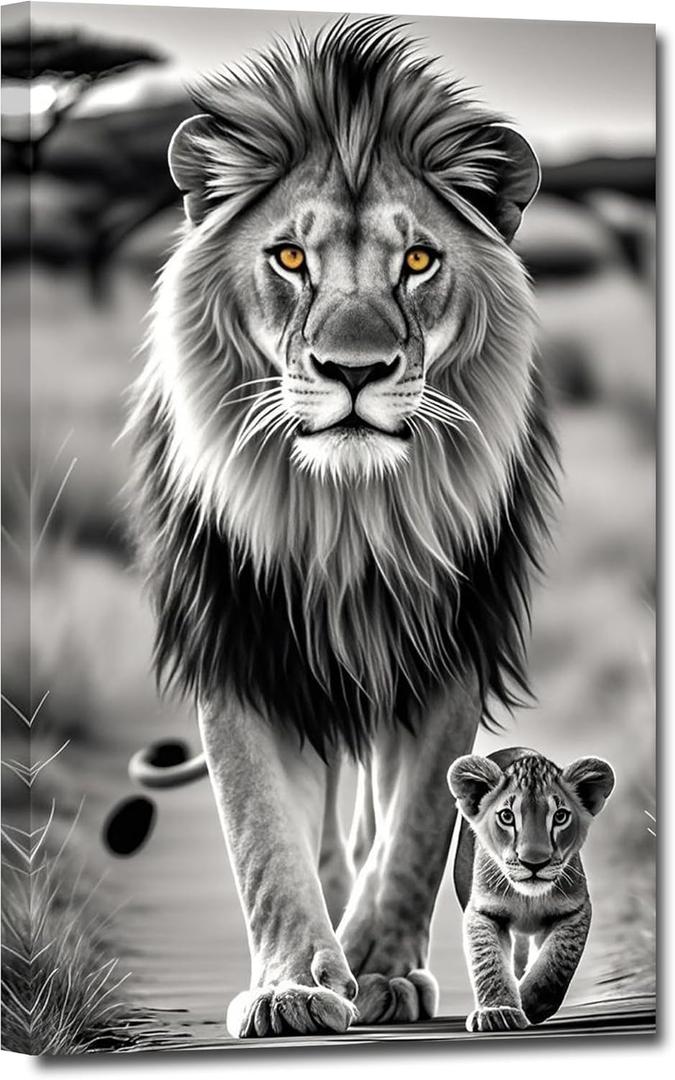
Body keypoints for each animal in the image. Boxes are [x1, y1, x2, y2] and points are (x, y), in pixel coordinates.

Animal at [128, 17, 558, 1037]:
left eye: (418, 261)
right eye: (290, 259)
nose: (352, 370)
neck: (349, 517)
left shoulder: (449, 650)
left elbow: (416, 831)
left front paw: (377, 969)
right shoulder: (240, 644)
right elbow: (262, 835)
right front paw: (293, 984)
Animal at [448, 748, 615, 1032]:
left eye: (560, 816)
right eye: (507, 816)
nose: (534, 863)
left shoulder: (576, 910)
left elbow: (557, 961)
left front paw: (528, 1004)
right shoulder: (483, 912)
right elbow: (488, 961)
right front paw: (498, 1012)